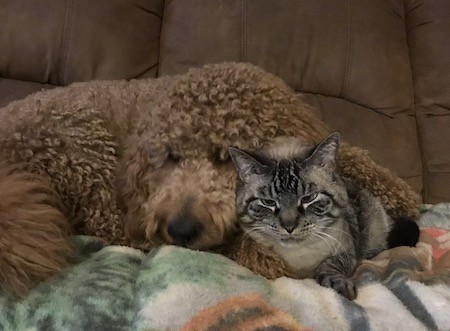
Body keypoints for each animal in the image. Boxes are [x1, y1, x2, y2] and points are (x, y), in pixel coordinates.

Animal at [229, 132, 418, 300]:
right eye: (268, 202)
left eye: (308, 198)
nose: (289, 227)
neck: (299, 260)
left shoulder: (348, 253)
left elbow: (329, 265)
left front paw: (339, 286)